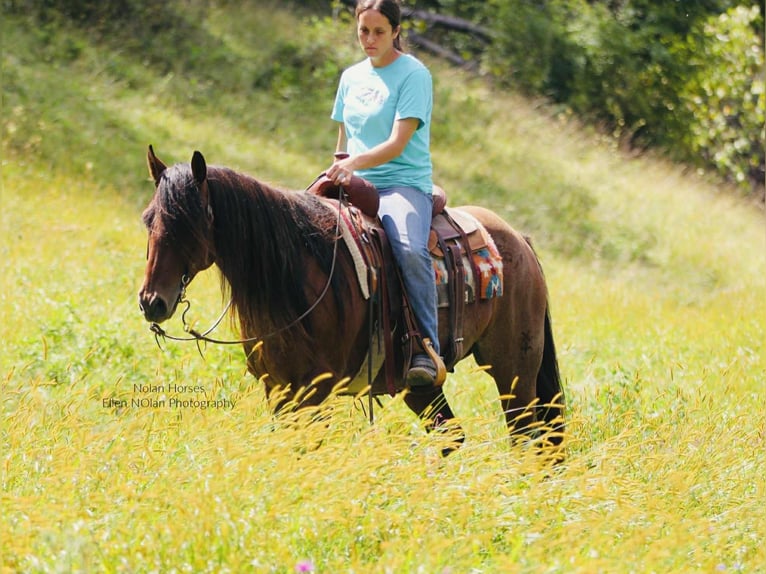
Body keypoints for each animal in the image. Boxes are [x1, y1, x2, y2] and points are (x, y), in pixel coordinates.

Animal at [138, 146, 565, 452]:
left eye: (189, 224)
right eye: (148, 219)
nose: (151, 302)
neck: (297, 272)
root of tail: (518, 240)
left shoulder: (314, 392)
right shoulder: (277, 388)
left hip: (514, 370)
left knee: (528, 438)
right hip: (421, 386)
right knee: (452, 436)